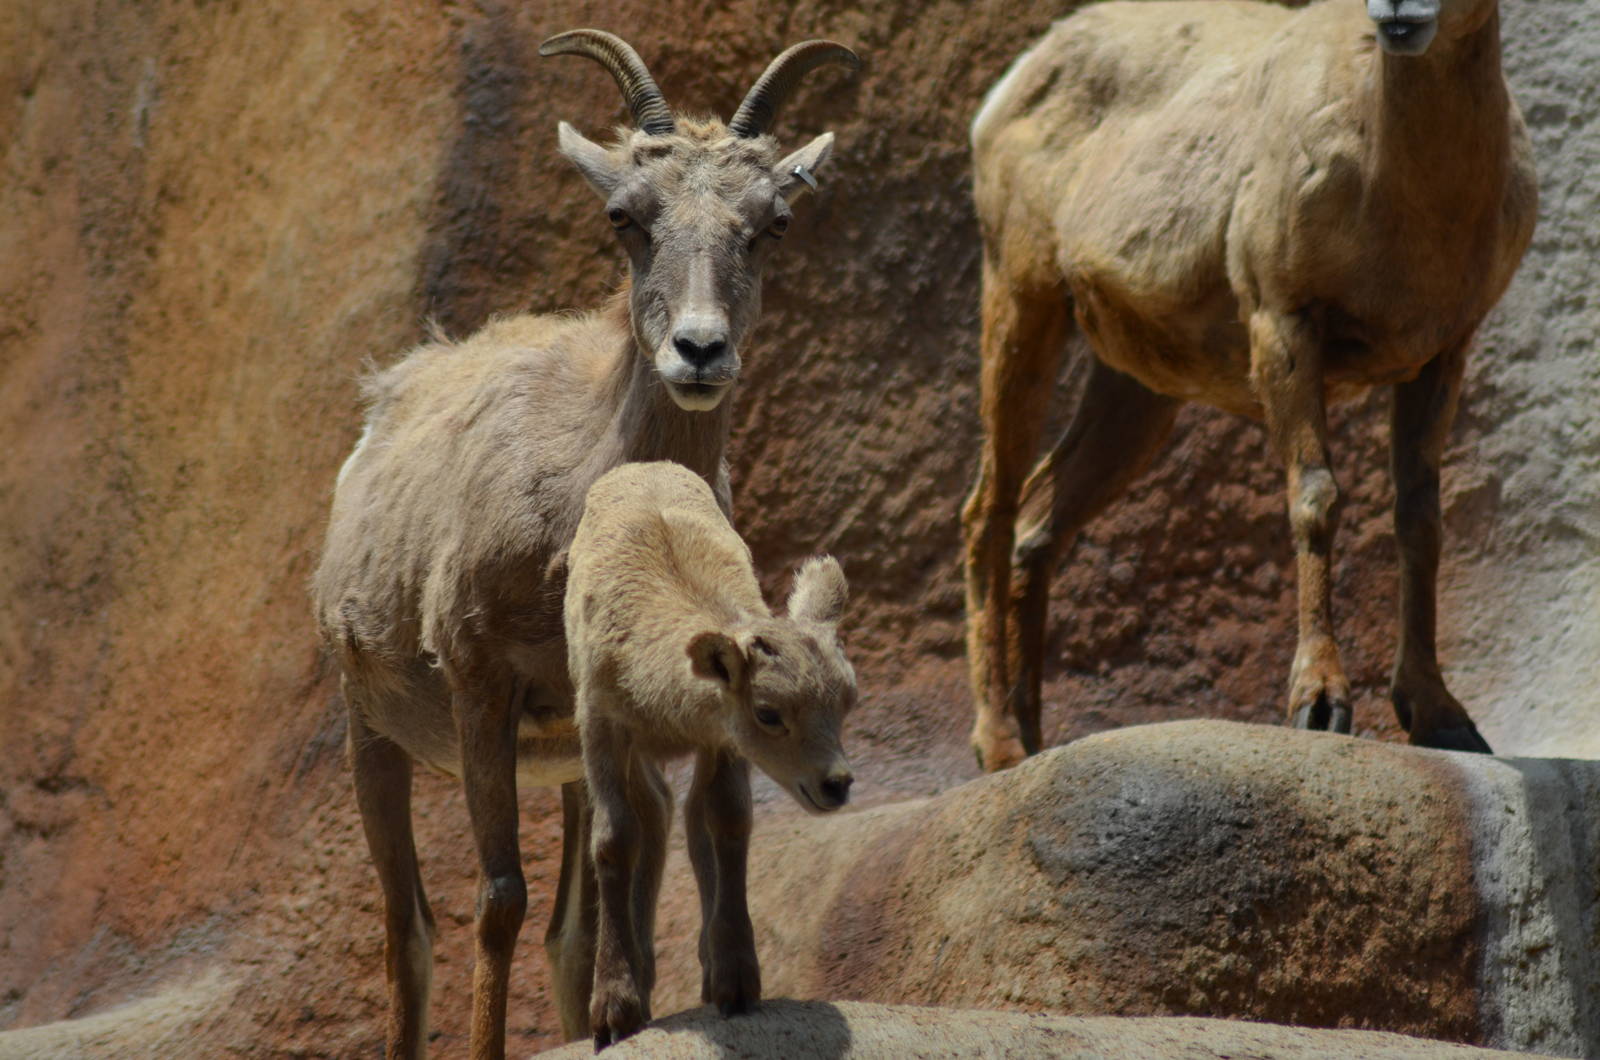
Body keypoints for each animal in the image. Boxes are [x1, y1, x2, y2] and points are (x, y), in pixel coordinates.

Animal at [564, 460, 855, 1047]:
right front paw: (612, 1011)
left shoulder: (720, 740)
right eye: (768, 712)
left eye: (848, 698)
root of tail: (642, 467)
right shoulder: (601, 725)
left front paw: (736, 983)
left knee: (686, 820)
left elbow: (727, 823)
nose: (836, 783)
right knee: (653, 815)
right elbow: (614, 838)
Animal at [961, 0, 1537, 771]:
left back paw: (1035, 742)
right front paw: (1319, 707)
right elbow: (1315, 498)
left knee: (1037, 520)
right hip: (1021, 297)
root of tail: (1012, 84)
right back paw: (998, 746)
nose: (1398, 13)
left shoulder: (1443, 352)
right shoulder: (1283, 322)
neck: (1419, 202)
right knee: (987, 513)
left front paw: (1442, 720)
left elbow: (1420, 518)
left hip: (1138, 388)